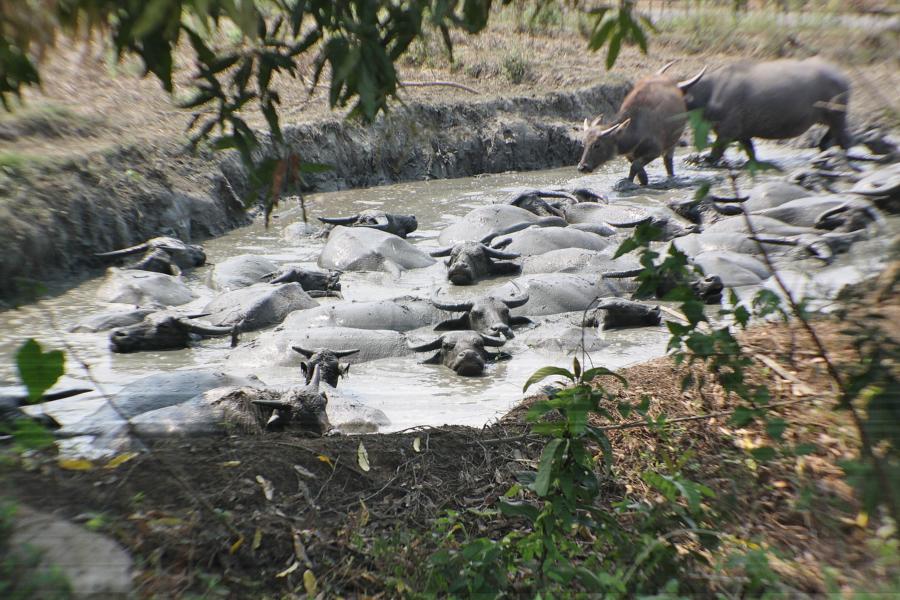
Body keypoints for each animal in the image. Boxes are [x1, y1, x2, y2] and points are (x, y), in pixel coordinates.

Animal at [576, 66, 712, 183]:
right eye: (583, 144)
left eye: (597, 145)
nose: (582, 167)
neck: (636, 129)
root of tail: (676, 85)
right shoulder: (629, 155)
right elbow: (638, 170)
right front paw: (642, 180)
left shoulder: (655, 150)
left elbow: (635, 166)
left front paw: (629, 182)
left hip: (673, 142)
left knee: (668, 162)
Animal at [684, 57, 856, 162]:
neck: (712, 92)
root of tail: (843, 78)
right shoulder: (743, 135)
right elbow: (752, 154)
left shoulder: (727, 133)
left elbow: (714, 155)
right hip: (830, 120)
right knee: (825, 143)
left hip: (838, 117)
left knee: (845, 141)